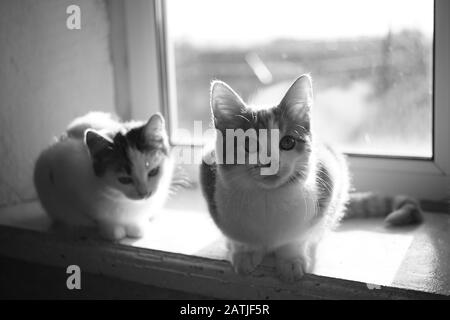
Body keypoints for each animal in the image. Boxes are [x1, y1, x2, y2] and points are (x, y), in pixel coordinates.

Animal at [33, 111, 174, 239]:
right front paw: (112, 229)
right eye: (124, 180)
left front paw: (136, 226)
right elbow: (97, 216)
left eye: (153, 171)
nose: (145, 193)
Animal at [200, 74, 422, 280]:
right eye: (249, 145)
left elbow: (298, 237)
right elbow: (240, 238)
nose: (270, 163)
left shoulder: (328, 179)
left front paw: (290, 259)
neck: (268, 197)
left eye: (287, 142)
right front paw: (245, 252)